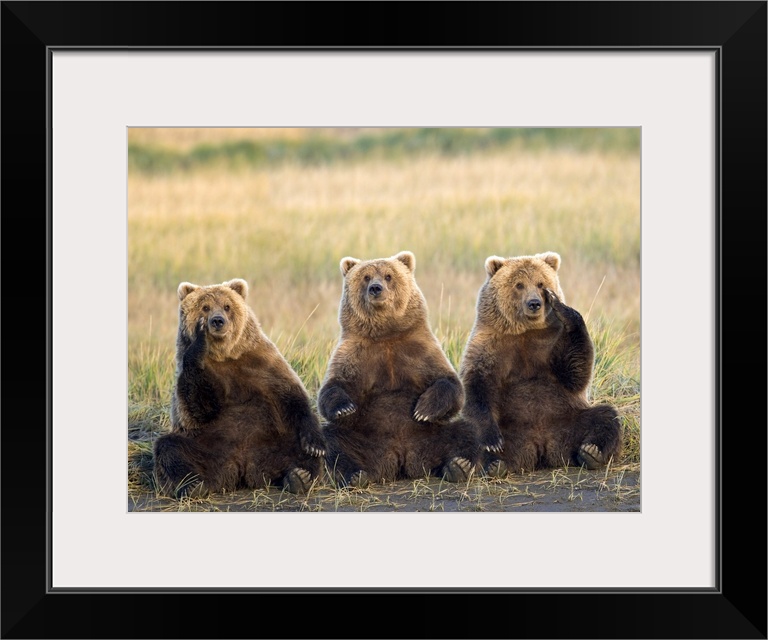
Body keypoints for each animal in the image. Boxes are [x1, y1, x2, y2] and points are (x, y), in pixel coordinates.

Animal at [153, 278, 328, 498]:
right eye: (205, 307)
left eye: (227, 306)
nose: (217, 321)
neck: (224, 355)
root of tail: (242, 467)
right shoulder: (197, 372)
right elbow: (197, 406)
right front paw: (201, 339)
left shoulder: (261, 363)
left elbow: (292, 396)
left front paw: (315, 445)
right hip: (206, 445)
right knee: (170, 449)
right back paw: (193, 485)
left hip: (273, 441)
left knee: (296, 450)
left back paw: (299, 477)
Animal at [316, 250, 480, 484]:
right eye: (366, 277)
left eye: (388, 275)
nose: (376, 288)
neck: (386, 335)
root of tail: (401, 457)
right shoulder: (355, 354)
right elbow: (334, 386)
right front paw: (344, 407)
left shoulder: (418, 350)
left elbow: (449, 382)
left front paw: (423, 410)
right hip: (364, 439)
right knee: (333, 441)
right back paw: (356, 475)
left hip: (432, 435)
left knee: (465, 431)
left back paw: (458, 466)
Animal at [460, 250, 620, 476]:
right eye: (519, 284)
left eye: (540, 283)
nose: (534, 303)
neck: (525, 331)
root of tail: (541, 445)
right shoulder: (490, 345)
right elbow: (477, 383)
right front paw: (492, 441)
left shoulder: (551, 342)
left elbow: (575, 371)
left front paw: (562, 308)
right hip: (515, 429)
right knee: (470, 436)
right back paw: (490, 464)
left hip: (569, 420)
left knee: (605, 417)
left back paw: (591, 452)